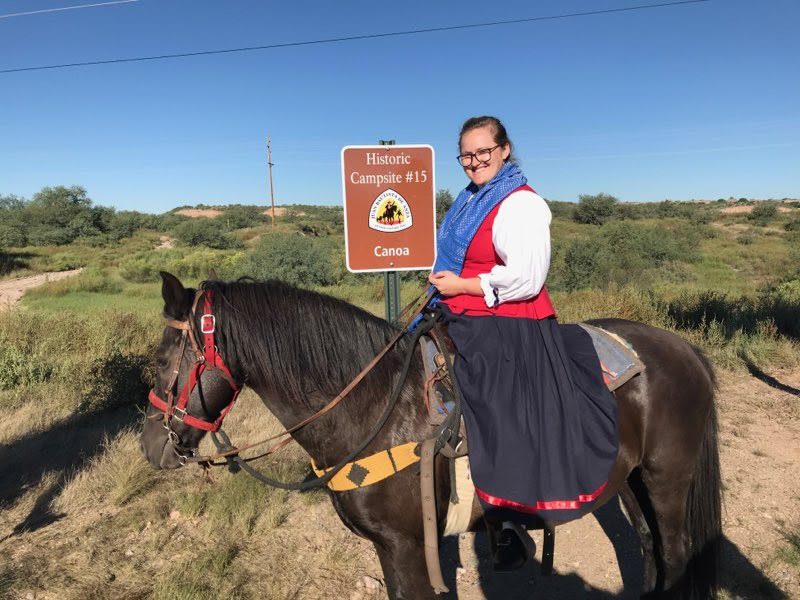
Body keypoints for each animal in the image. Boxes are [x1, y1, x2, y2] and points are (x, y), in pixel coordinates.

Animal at [141, 274, 720, 600]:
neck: (377, 404)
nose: (152, 447)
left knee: (675, 550)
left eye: (161, 363)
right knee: (649, 546)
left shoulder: (406, 546)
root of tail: (682, 348)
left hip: (667, 478)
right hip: (631, 479)